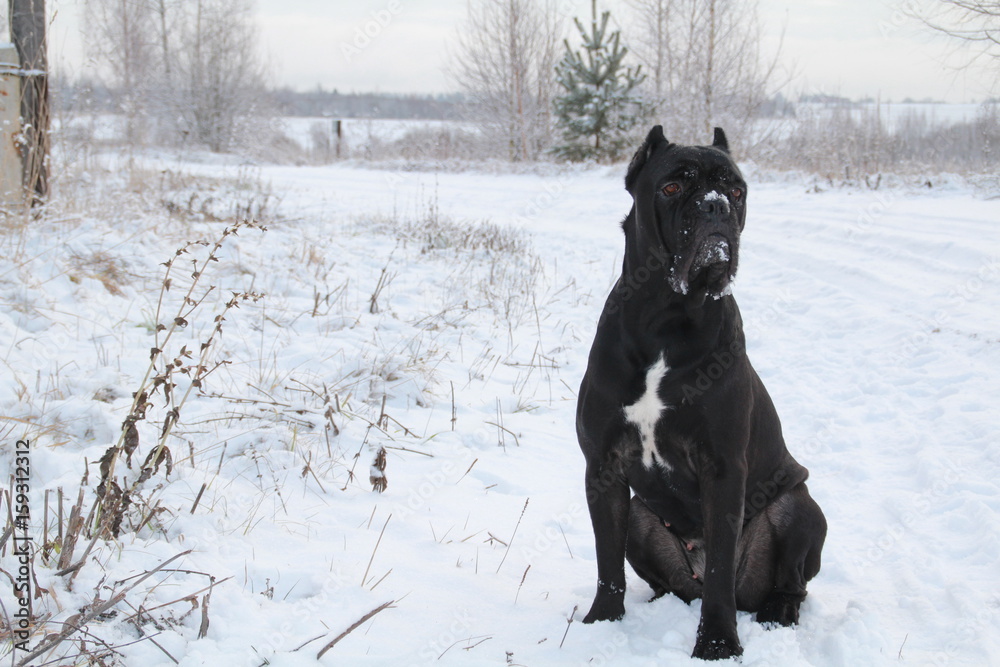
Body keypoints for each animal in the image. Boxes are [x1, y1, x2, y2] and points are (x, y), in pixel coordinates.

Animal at [580, 126, 828, 664]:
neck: (666, 318)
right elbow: (606, 561)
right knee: (669, 579)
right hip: (641, 516)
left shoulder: (722, 468)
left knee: (786, 580)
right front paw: (601, 623)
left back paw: (778, 610)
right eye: (673, 187)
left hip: (799, 505)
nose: (716, 207)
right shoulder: (603, 466)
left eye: (736, 190)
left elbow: (718, 572)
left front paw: (716, 644)